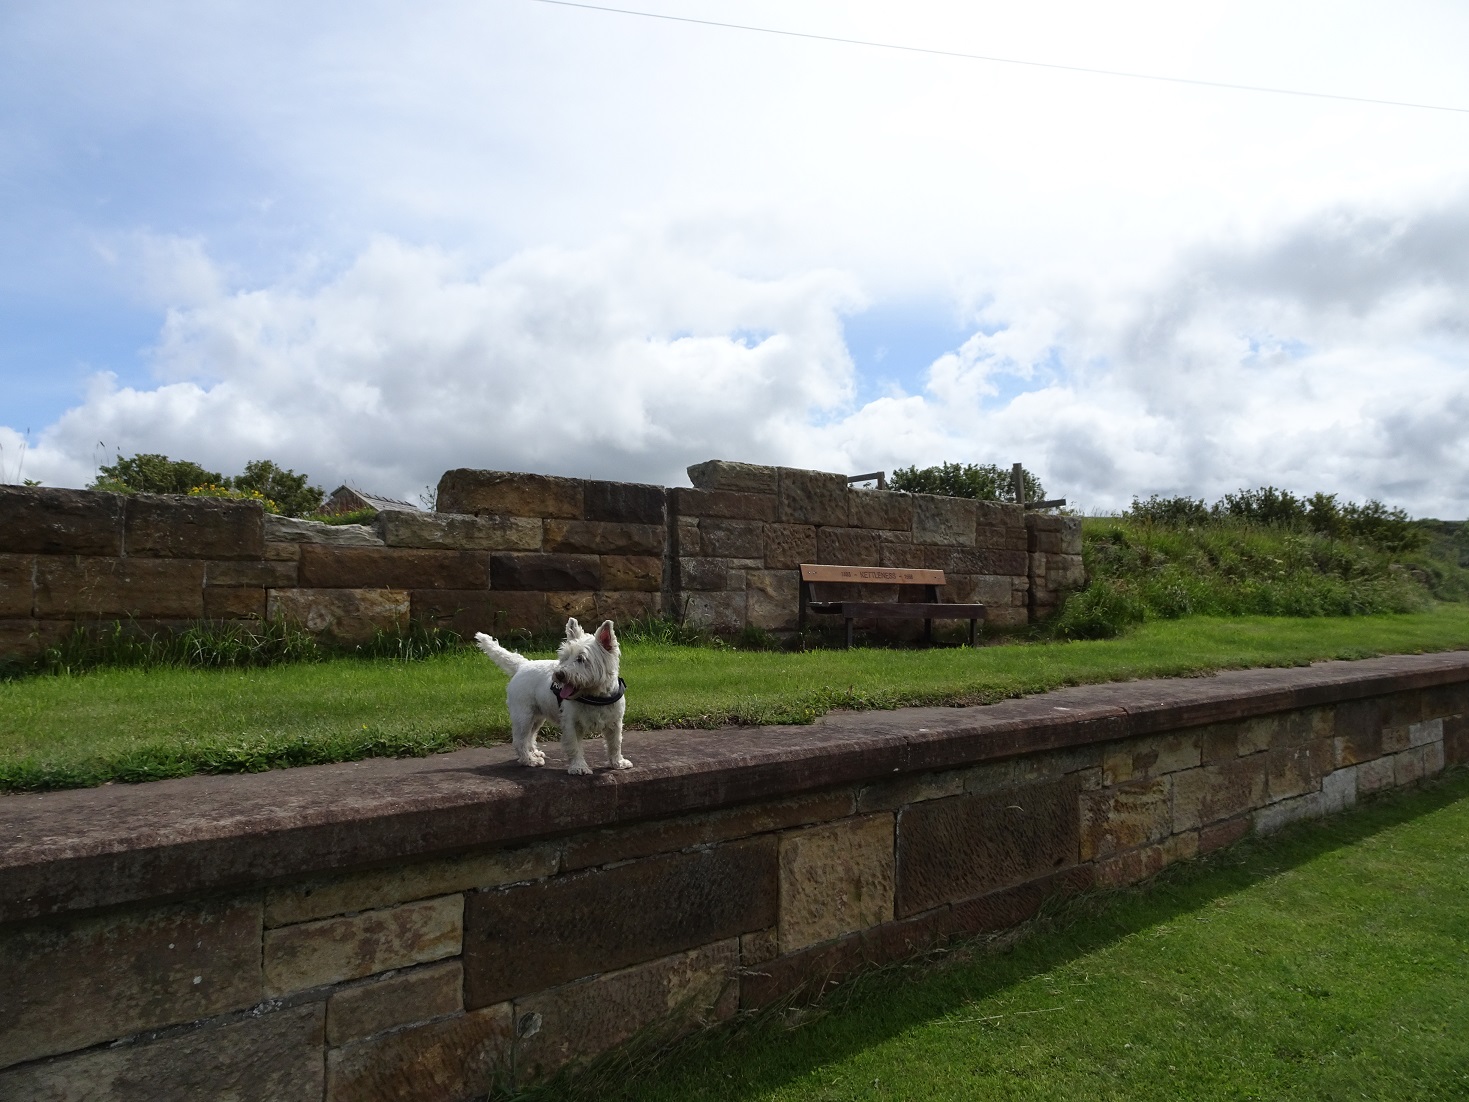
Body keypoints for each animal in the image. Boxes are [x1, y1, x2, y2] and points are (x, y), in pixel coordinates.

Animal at [473, 617, 628, 781]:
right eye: (564, 657)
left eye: (581, 659)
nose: (559, 674)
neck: (594, 696)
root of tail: (523, 665)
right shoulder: (572, 724)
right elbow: (575, 747)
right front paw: (579, 767)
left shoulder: (615, 723)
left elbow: (615, 744)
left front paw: (618, 763)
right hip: (523, 716)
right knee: (519, 740)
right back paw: (529, 760)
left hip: (537, 717)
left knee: (530, 736)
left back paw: (533, 753)